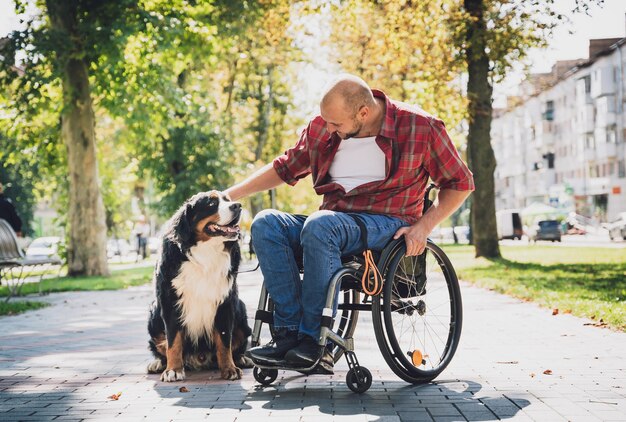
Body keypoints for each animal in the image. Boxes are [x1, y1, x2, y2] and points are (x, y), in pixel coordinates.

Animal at [146, 190, 251, 380]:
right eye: (211, 204)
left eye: (228, 200)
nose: (238, 206)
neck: (205, 253)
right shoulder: (170, 302)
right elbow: (173, 341)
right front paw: (173, 370)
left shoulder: (225, 302)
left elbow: (225, 341)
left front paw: (229, 368)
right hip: (154, 313)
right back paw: (158, 363)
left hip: (240, 308)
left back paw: (242, 359)